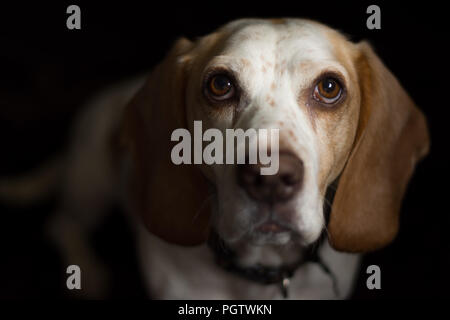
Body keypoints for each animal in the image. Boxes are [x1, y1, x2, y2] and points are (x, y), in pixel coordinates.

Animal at [0, 18, 428, 300]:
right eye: (220, 85)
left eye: (328, 88)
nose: (270, 178)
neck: (261, 274)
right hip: (90, 186)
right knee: (60, 225)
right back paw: (86, 273)